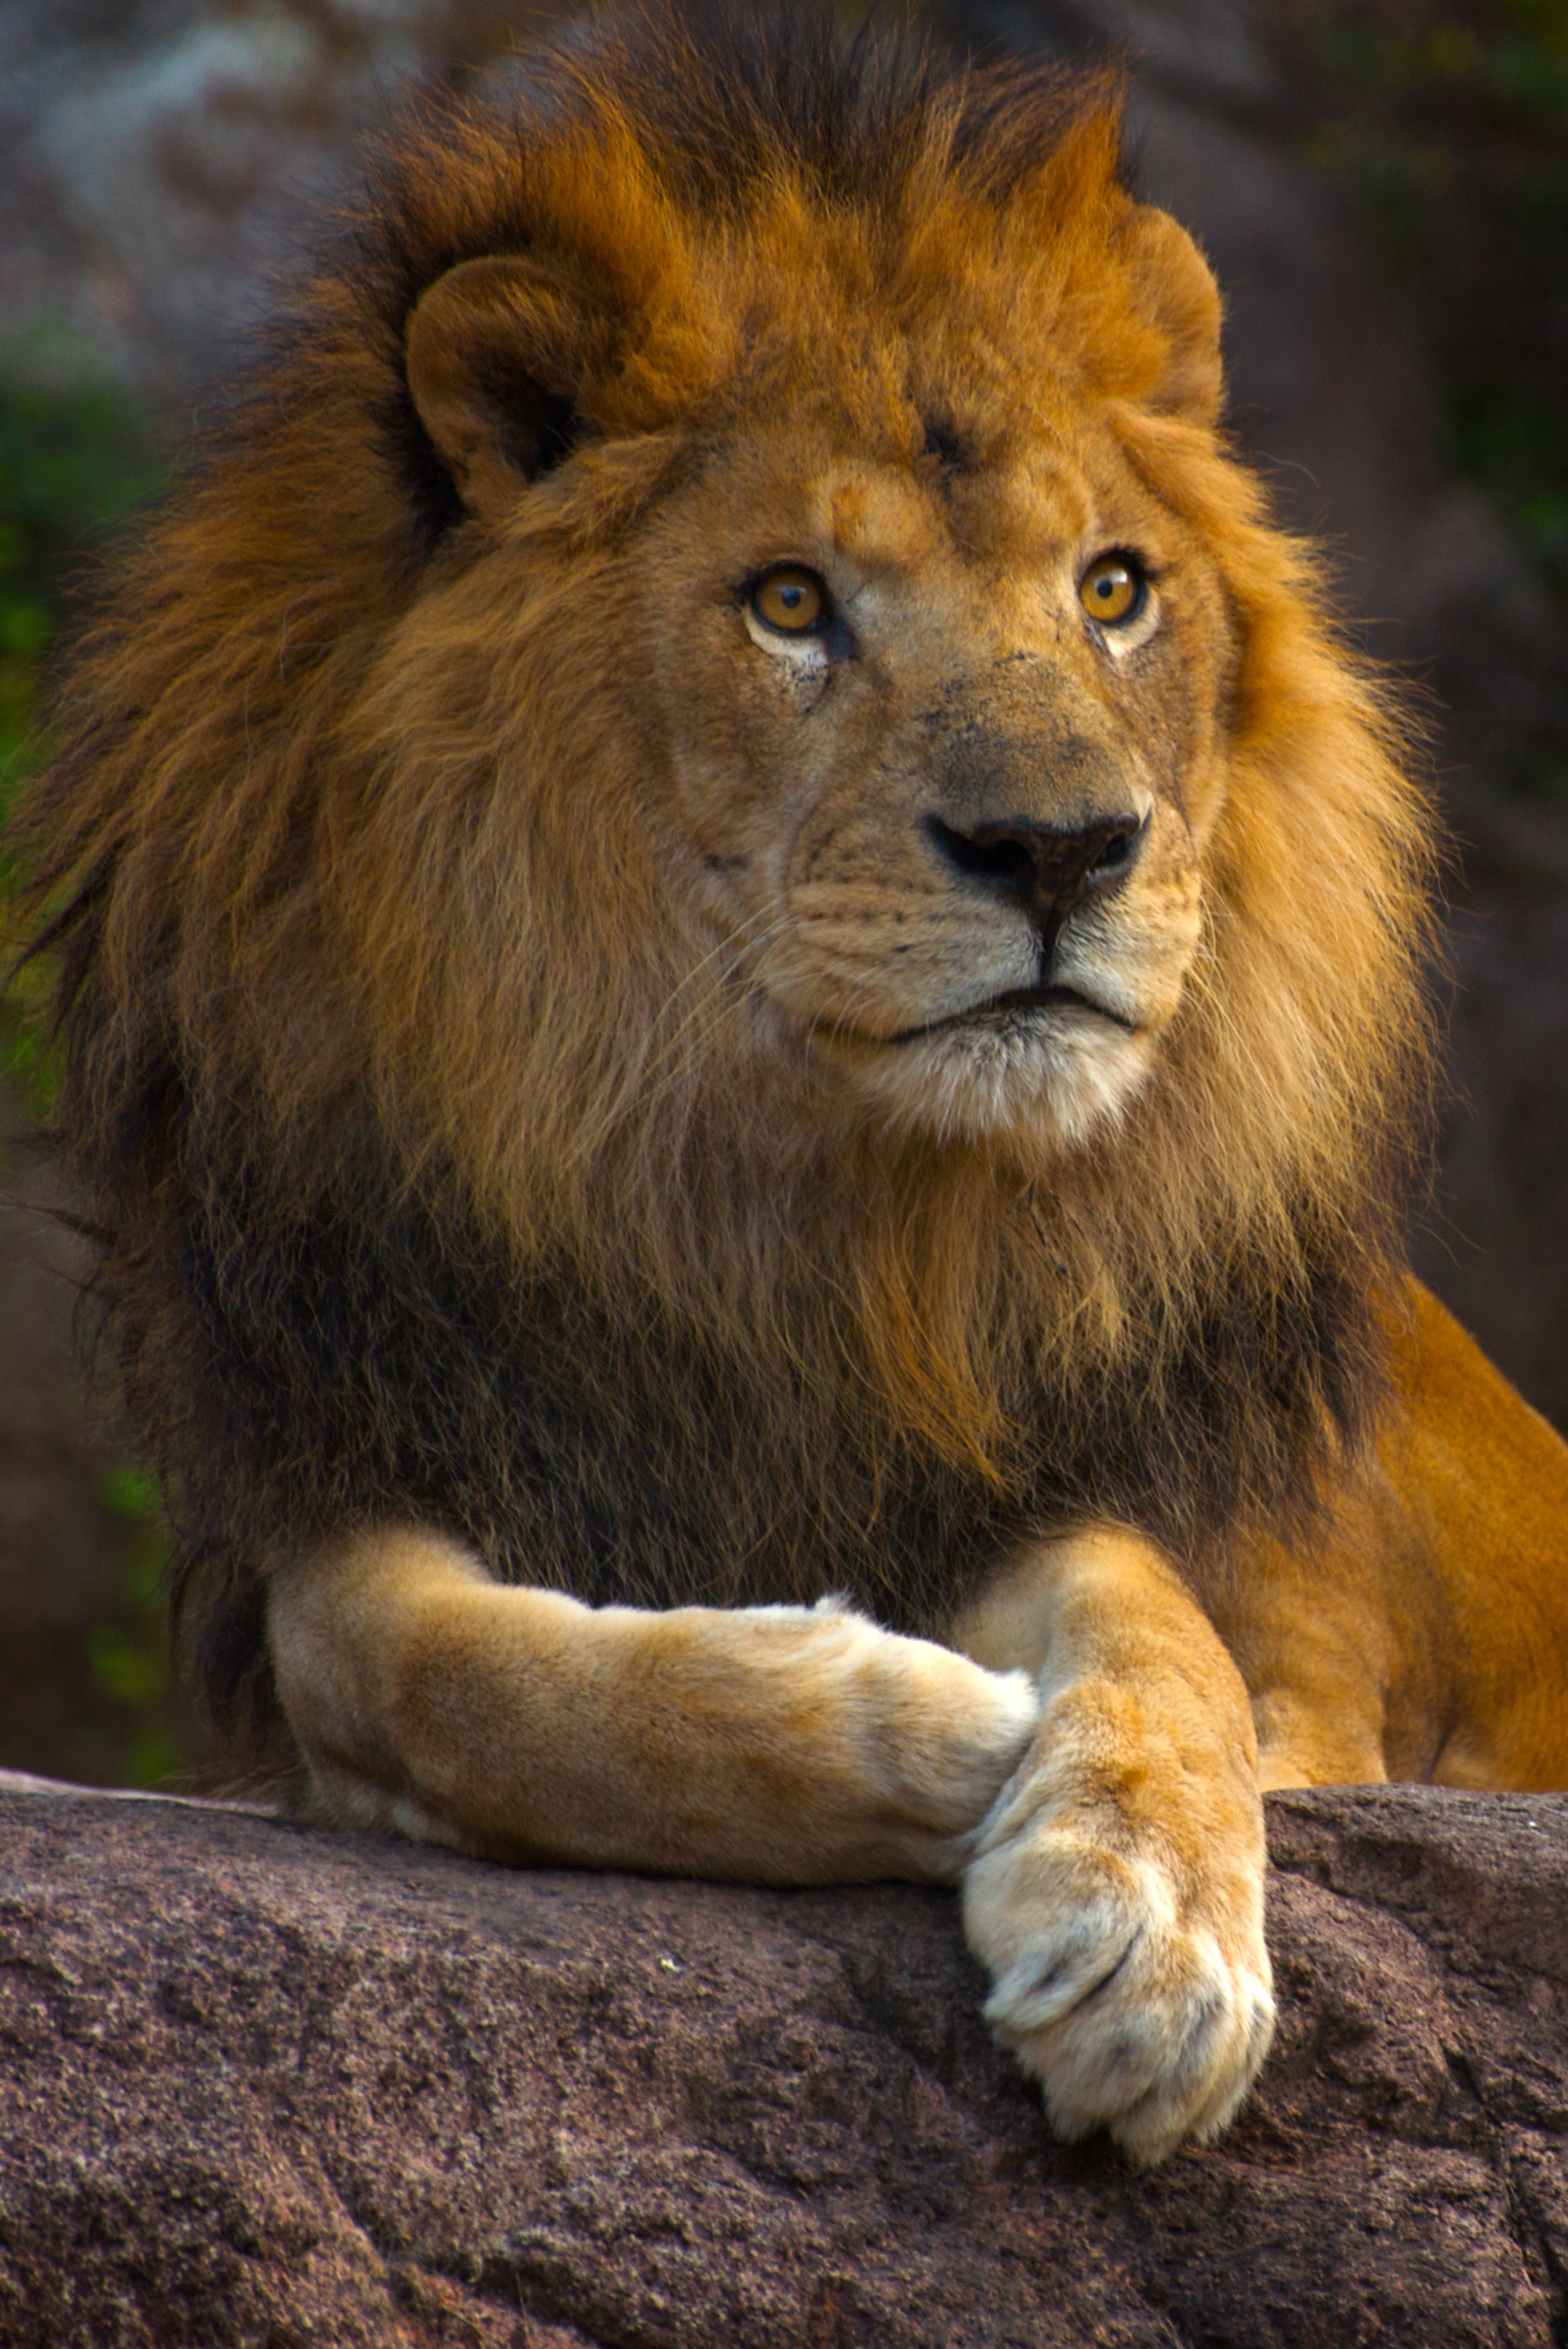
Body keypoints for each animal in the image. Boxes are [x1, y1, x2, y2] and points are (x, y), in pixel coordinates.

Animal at [18, 0, 1567, 2161]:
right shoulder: (347, 1463)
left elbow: (1158, 1629)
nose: (1060, 850)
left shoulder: (1197, 1554)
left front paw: (1148, 1913)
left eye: (1111, 590)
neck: (791, 1211)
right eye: (787, 603)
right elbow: (427, 1666)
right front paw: (925, 1728)